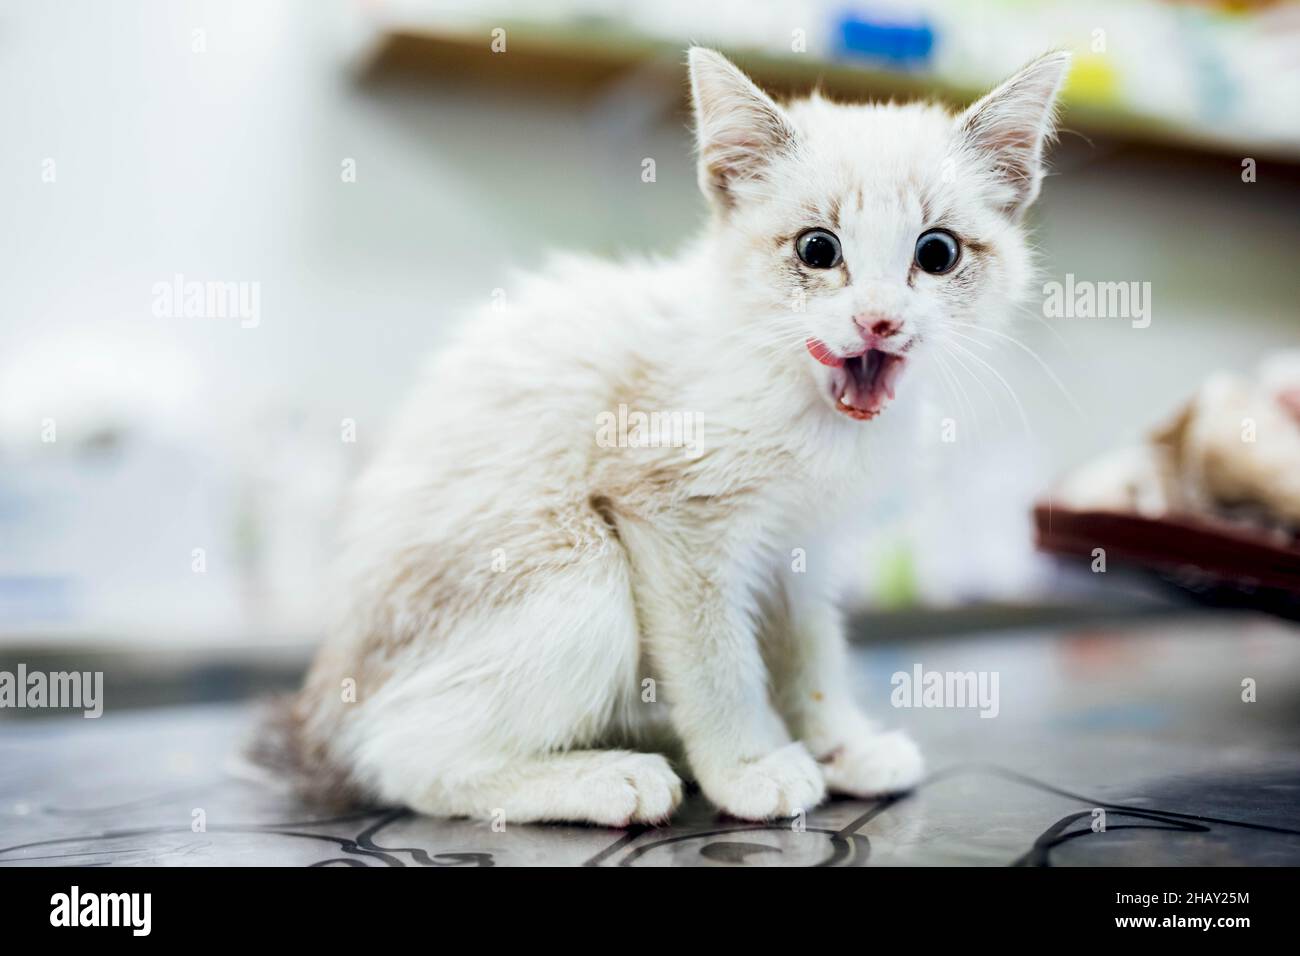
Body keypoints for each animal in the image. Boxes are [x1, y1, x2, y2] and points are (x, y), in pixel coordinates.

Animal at [269, 48, 1071, 827]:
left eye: (937, 254)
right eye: (818, 249)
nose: (878, 320)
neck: (802, 401)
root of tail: (324, 707)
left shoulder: (802, 549)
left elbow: (810, 654)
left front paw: (837, 746)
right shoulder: (671, 516)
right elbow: (717, 662)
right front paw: (748, 767)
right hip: (581, 574)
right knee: (406, 757)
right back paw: (607, 779)